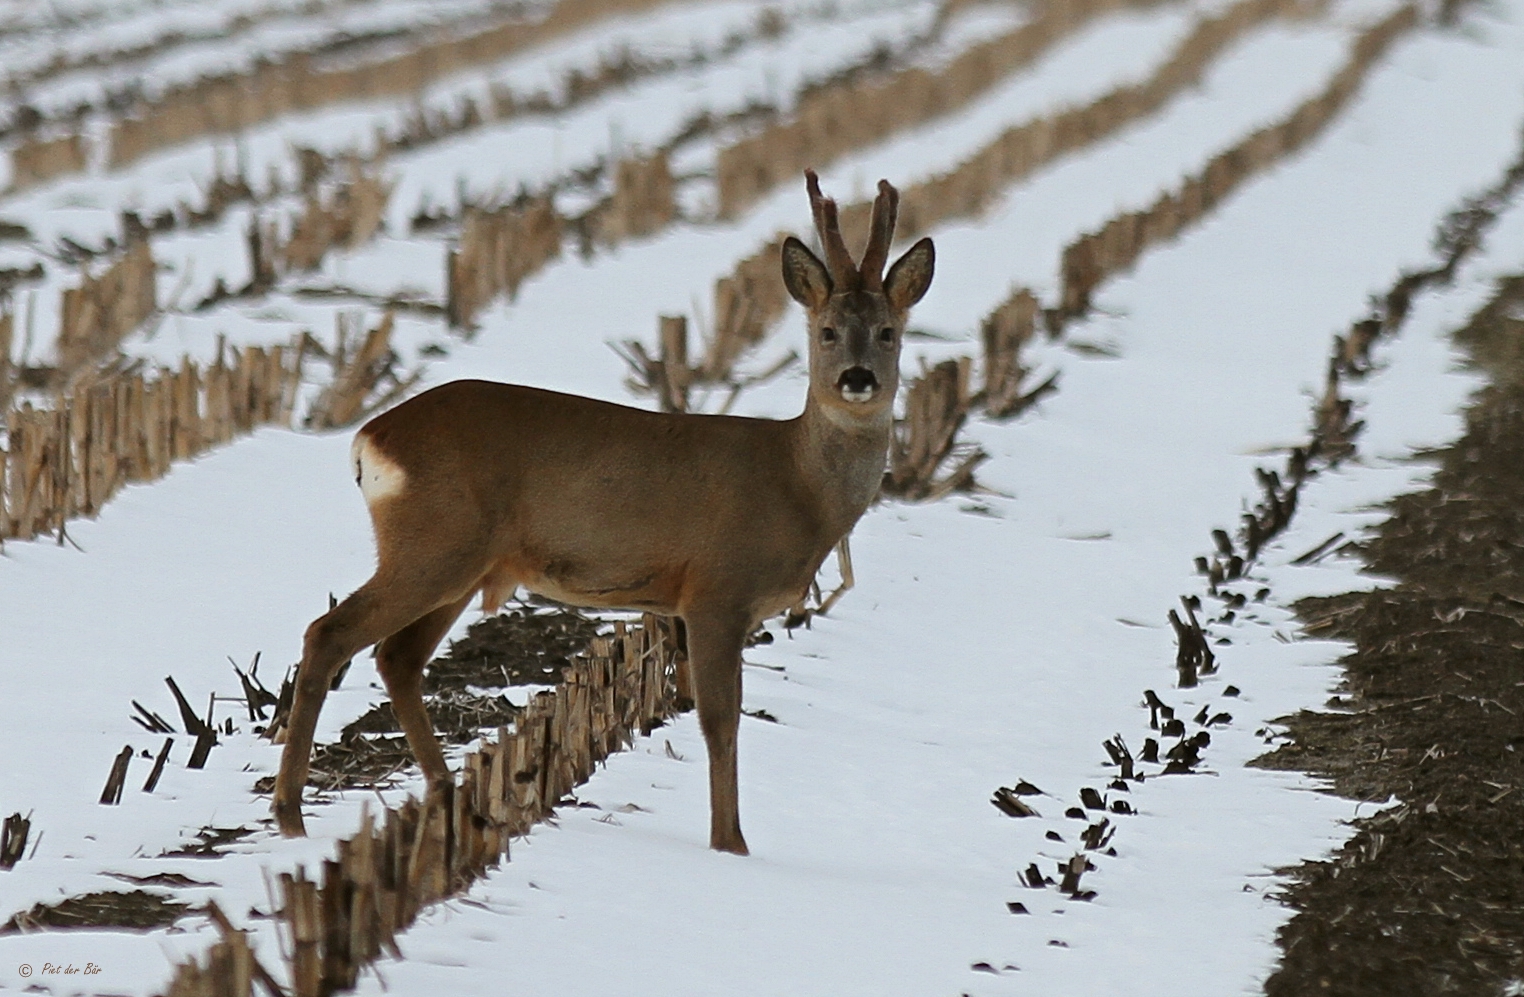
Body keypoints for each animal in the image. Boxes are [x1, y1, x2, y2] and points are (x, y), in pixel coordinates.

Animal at [278, 169, 932, 853]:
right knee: (330, 633)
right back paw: (292, 816)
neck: (795, 483)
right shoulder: (715, 590)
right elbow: (721, 722)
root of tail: (369, 439)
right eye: (827, 330)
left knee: (397, 657)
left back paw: (452, 802)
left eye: (889, 332)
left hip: (462, 561)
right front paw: (731, 845)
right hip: (436, 542)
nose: (858, 378)